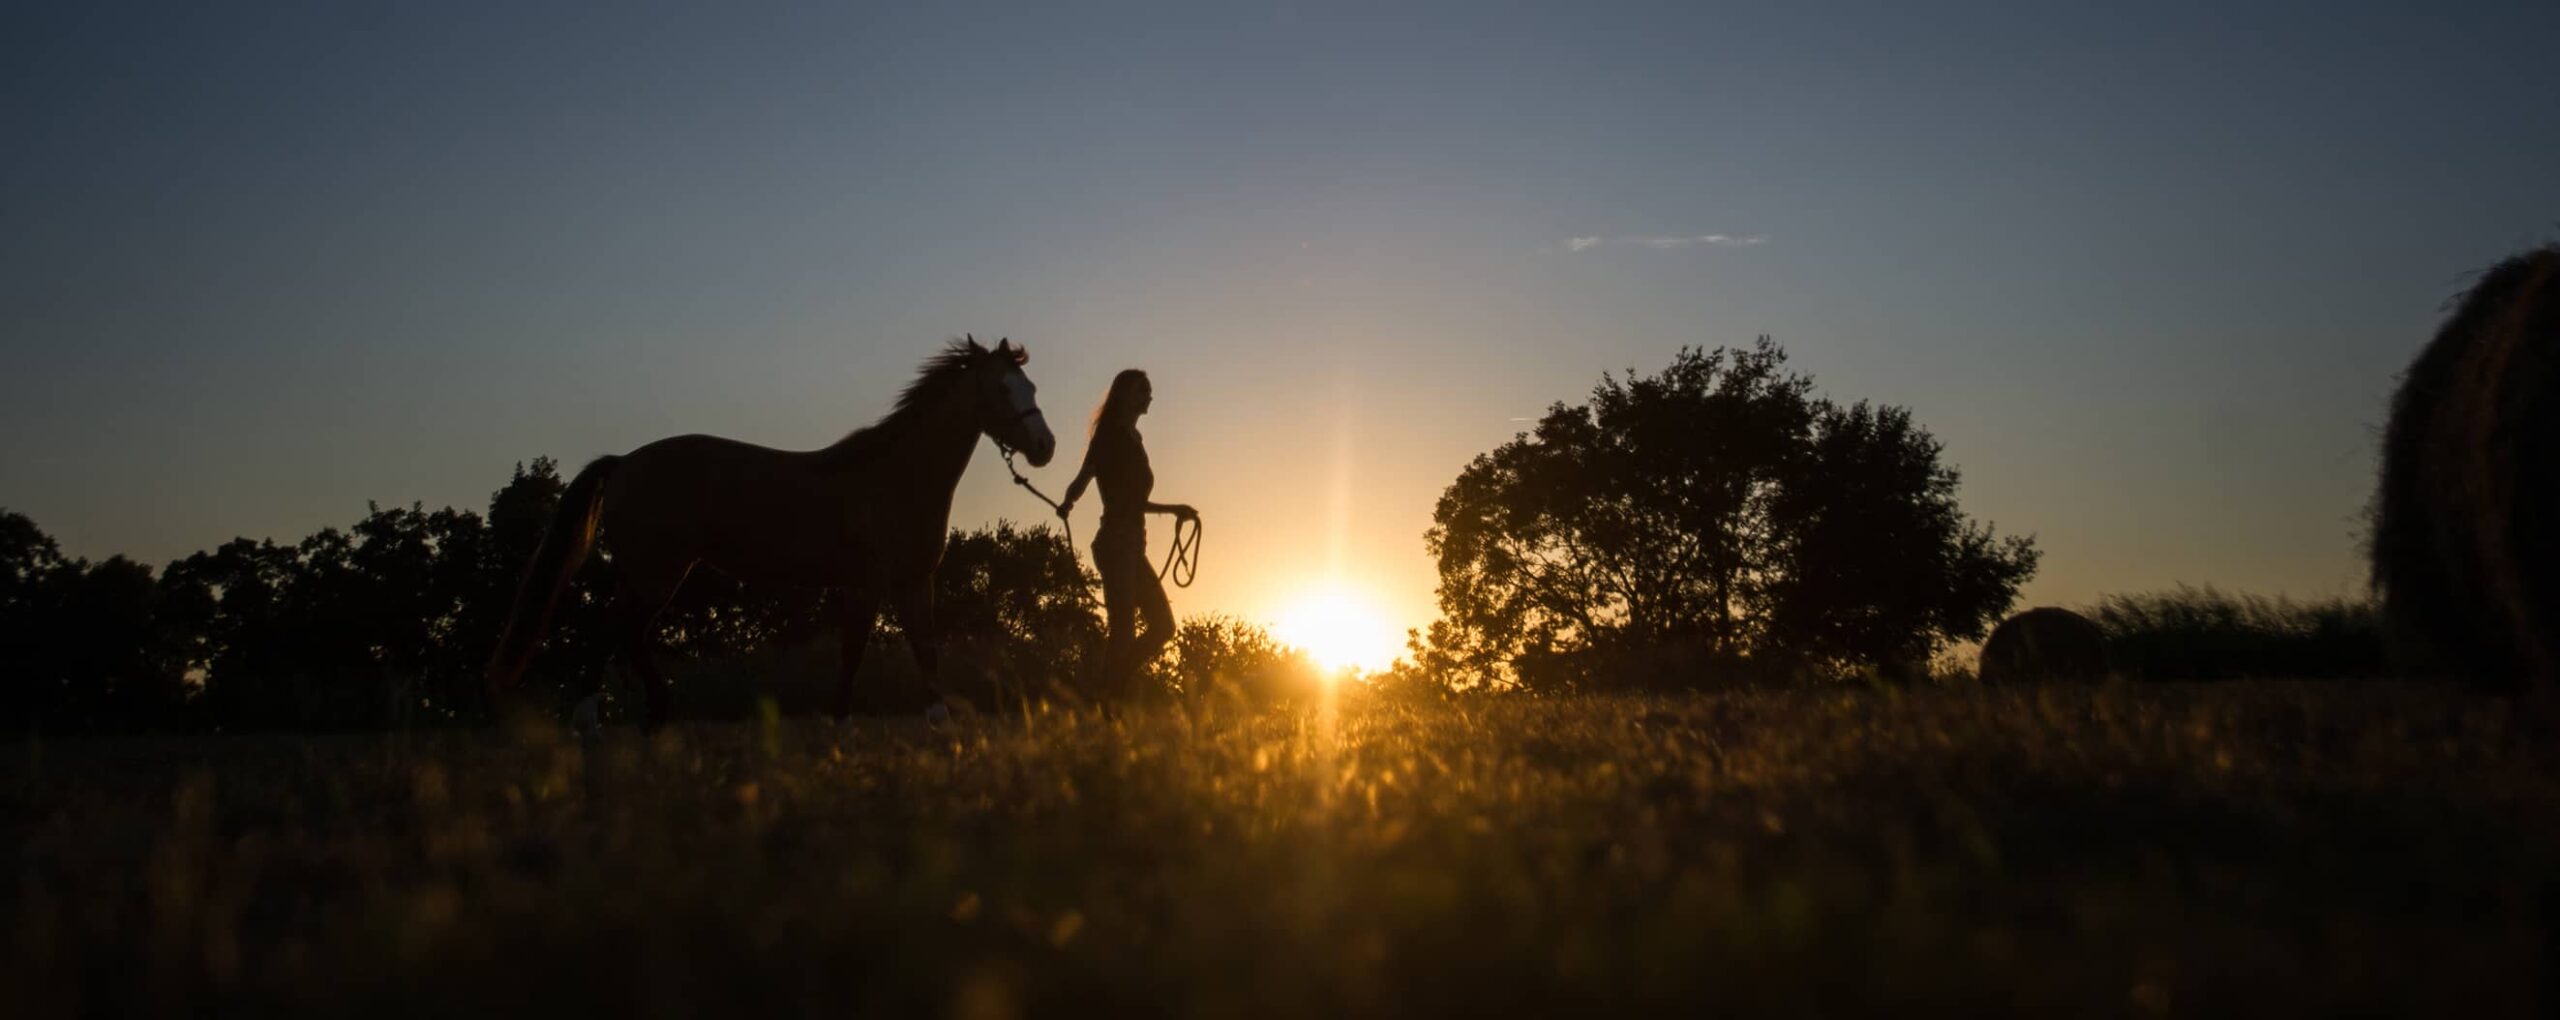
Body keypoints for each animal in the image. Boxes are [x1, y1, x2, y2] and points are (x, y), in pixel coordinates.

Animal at [483, 338, 1054, 727]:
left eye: (1030, 386)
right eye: (1002, 387)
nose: (1045, 447)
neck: (894, 477)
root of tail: (624, 462)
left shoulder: (915, 581)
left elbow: (926, 651)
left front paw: (942, 728)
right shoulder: (868, 583)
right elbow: (855, 651)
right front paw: (840, 723)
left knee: (627, 634)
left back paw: (657, 713)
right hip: (655, 573)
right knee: (613, 631)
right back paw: (597, 719)